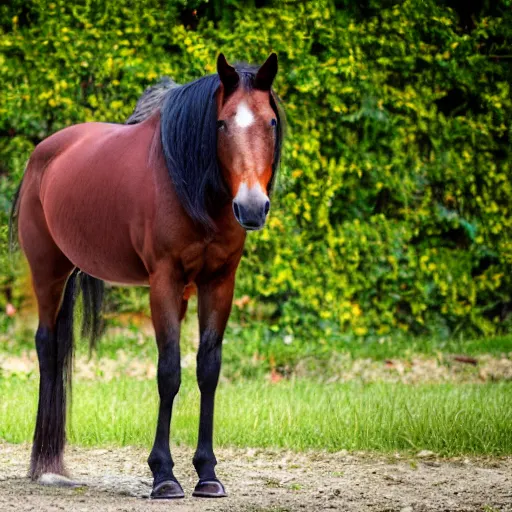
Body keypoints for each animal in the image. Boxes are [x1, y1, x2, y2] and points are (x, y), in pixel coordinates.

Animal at [10, 54, 284, 498]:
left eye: (271, 122)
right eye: (221, 124)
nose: (252, 206)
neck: (192, 187)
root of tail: (42, 154)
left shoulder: (219, 282)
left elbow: (208, 370)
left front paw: (207, 473)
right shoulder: (164, 282)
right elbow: (168, 372)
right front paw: (164, 475)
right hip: (48, 272)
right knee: (48, 347)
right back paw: (46, 467)